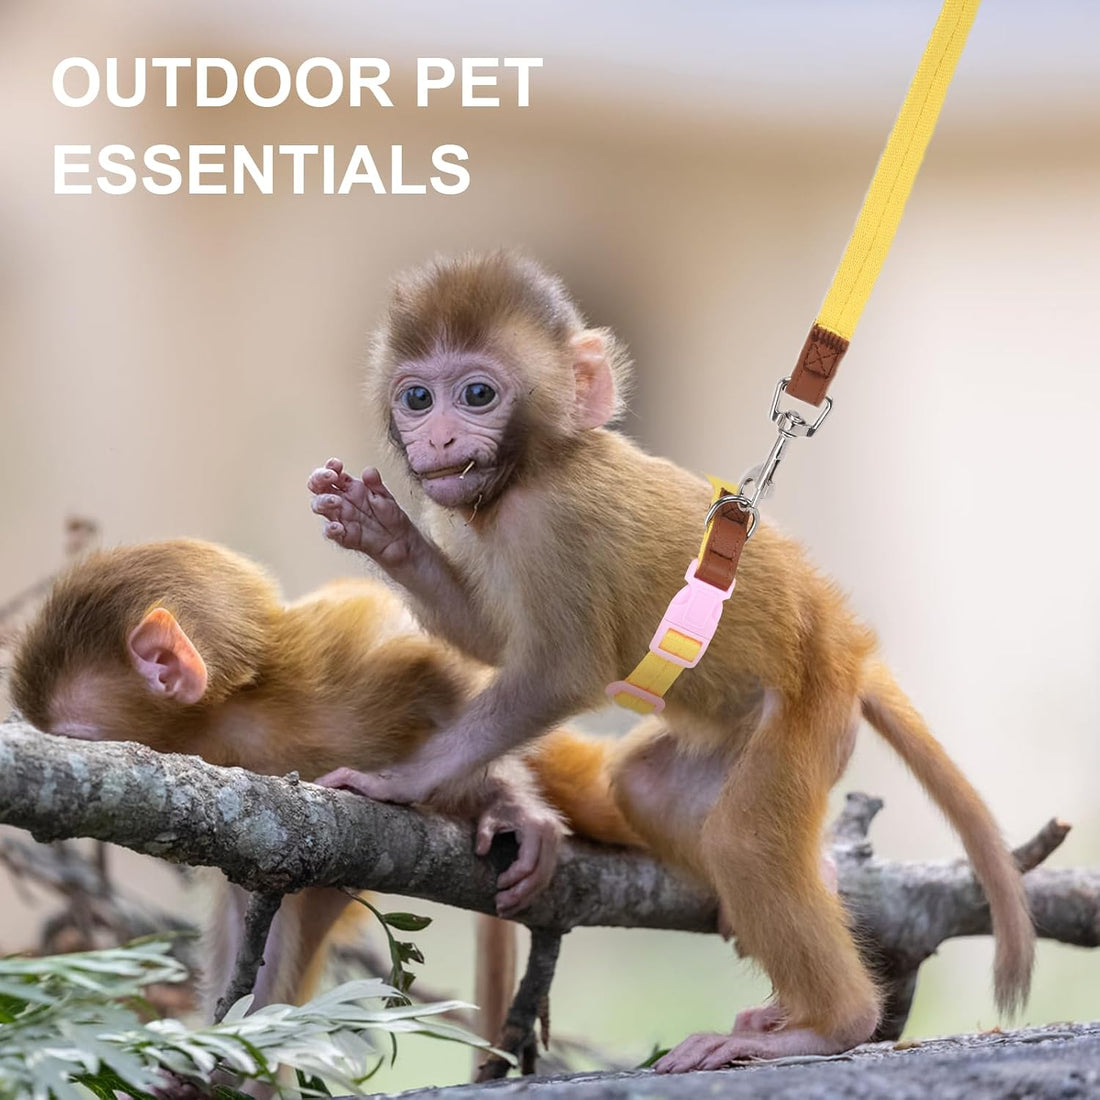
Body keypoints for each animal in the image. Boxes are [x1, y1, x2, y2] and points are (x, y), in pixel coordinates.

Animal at [307, 250, 1035, 1071]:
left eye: (478, 394)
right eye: (417, 396)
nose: (434, 441)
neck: (536, 468)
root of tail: (849, 646)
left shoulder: (557, 527)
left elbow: (559, 671)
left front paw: (399, 782)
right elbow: (493, 641)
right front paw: (384, 534)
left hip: (809, 713)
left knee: (744, 841)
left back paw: (828, 1024)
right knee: (649, 789)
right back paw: (806, 909)